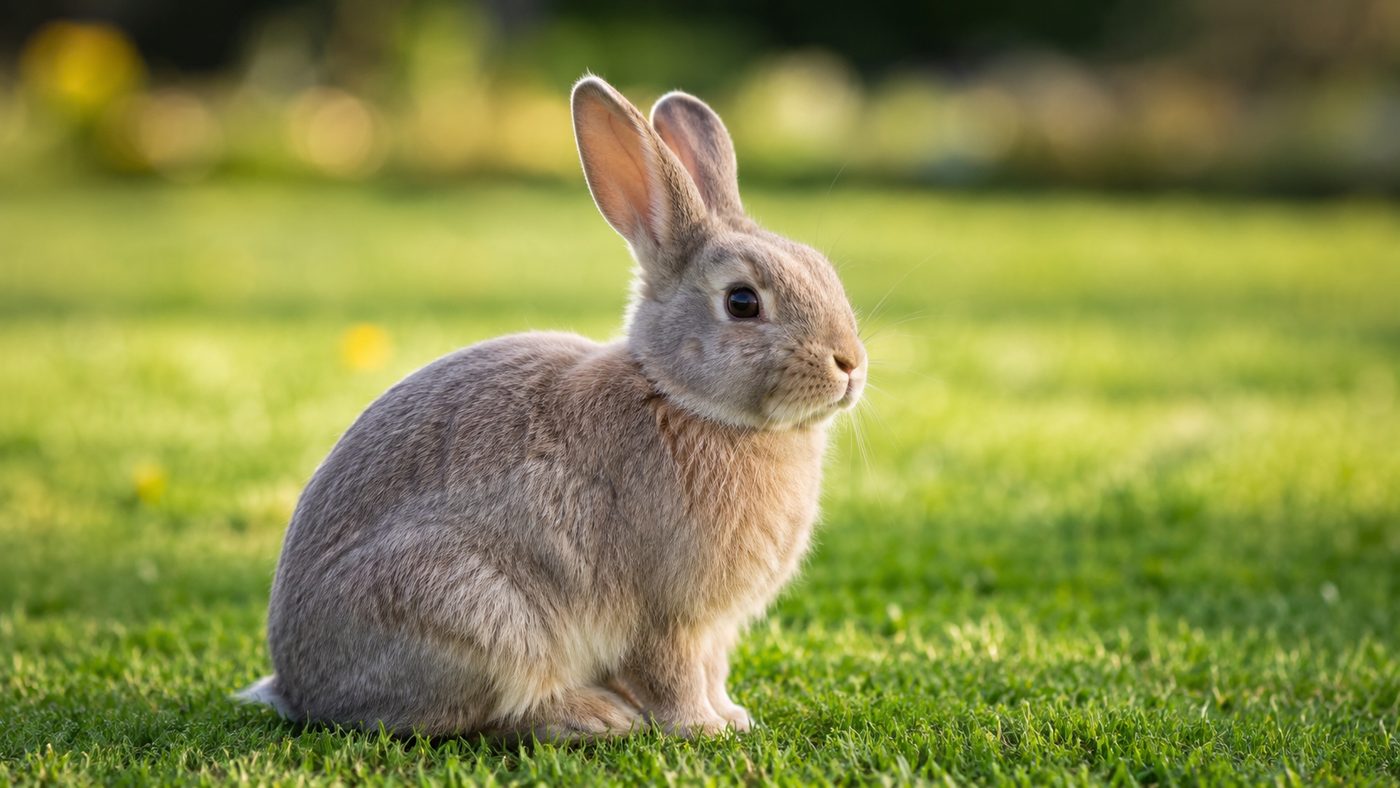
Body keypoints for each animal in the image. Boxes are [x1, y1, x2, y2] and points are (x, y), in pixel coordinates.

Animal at [237, 75, 868, 741]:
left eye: (824, 271)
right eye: (742, 302)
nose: (850, 364)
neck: (679, 397)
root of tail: (299, 686)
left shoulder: (713, 631)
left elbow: (713, 672)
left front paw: (733, 717)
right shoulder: (666, 617)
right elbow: (673, 677)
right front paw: (703, 729)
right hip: (474, 613)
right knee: (489, 715)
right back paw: (597, 716)